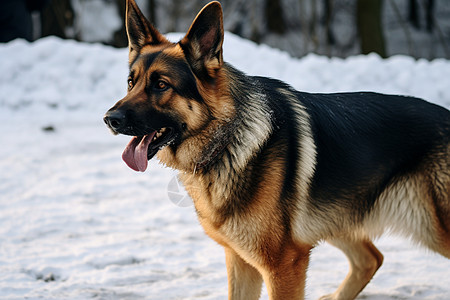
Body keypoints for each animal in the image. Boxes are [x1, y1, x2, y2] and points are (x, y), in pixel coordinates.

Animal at [103, 1, 450, 298]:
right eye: (131, 82)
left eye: (161, 85)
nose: (110, 119)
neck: (226, 141)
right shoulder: (240, 261)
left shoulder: (283, 266)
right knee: (371, 259)